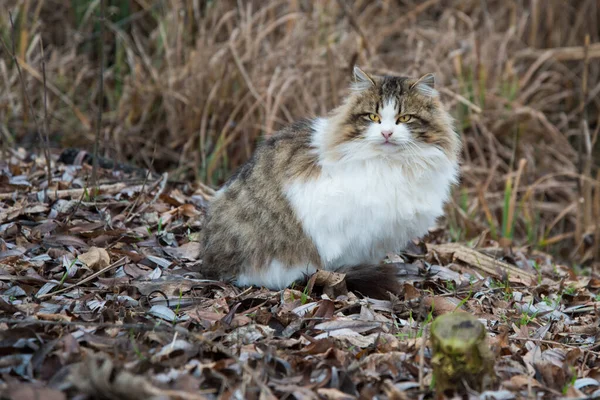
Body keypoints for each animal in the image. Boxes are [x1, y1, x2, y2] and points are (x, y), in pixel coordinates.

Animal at [199, 66, 462, 296]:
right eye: (373, 117)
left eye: (405, 118)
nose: (386, 133)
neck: (392, 164)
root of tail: (213, 265)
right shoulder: (348, 231)